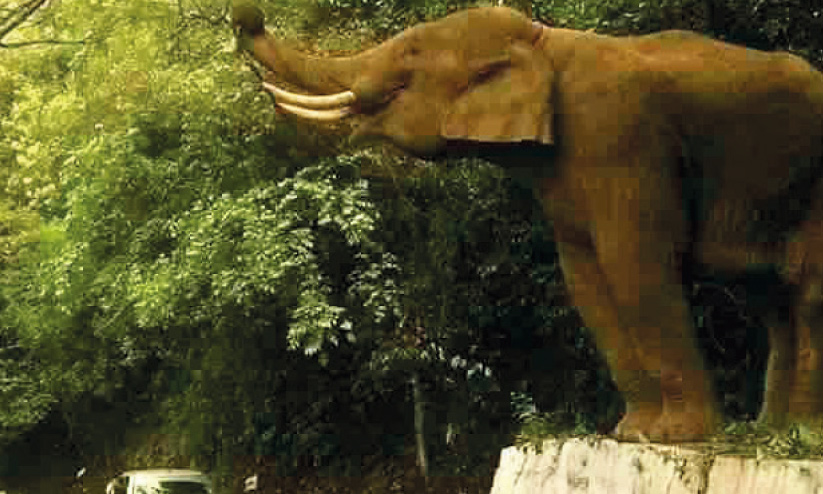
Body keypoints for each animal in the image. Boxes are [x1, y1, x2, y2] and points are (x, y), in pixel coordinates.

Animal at [232, 3, 823, 442]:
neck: (543, 41)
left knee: (808, 297)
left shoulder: (619, 134)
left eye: (410, 57)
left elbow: (636, 265)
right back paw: (772, 436)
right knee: (775, 304)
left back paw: (798, 437)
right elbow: (585, 280)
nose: (247, 16)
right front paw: (629, 434)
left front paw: (676, 439)